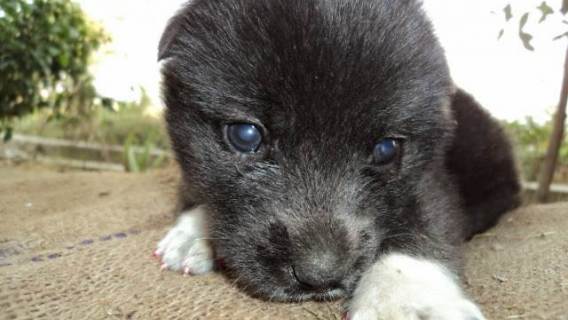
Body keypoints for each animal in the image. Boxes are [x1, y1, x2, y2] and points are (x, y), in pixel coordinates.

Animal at [154, 1, 520, 318]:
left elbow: (424, 226)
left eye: (386, 149)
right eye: (245, 135)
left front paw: (403, 300)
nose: (319, 276)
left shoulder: (430, 179)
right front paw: (193, 232)